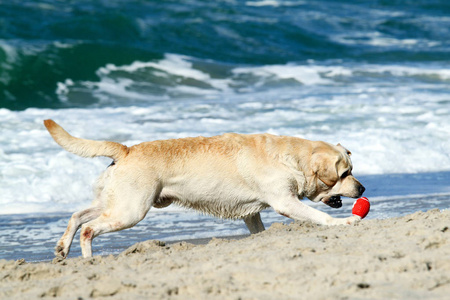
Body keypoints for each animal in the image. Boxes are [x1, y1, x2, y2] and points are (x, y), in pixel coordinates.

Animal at [44, 119, 364, 258]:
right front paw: (344, 222)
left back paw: (63, 247)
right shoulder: (284, 202)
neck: (291, 157)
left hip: (115, 202)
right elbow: (320, 216)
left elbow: (258, 229)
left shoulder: (252, 214)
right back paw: (88, 259)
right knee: (89, 228)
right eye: (345, 173)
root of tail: (126, 150)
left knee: (77, 215)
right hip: (130, 210)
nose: (362, 189)